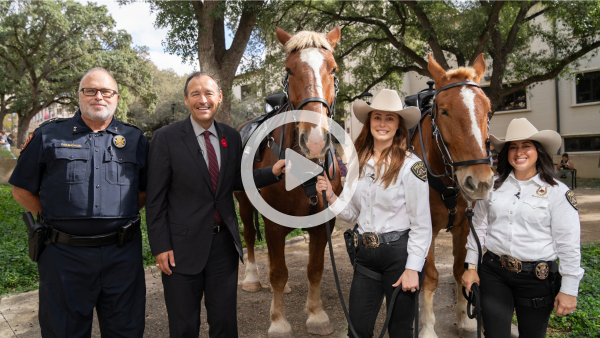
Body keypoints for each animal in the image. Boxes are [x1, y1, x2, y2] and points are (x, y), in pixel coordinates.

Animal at [233, 27, 340, 338]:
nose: (314, 140)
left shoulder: (323, 221)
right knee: (248, 236)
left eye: (333, 69)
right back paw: (252, 279)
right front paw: (279, 321)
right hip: (243, 203)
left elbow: (314, 268)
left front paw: (316, 315)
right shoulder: (273, 223)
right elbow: (278, 272)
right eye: (289, 70)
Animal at [412, 54, 492, 336]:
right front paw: (427, 327)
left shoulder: (464, 227)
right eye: (444, 111)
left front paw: (465, 319)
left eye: (488, 110)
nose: (479, 181)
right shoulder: (426, 228)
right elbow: (431, 277)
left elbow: (460, 270)